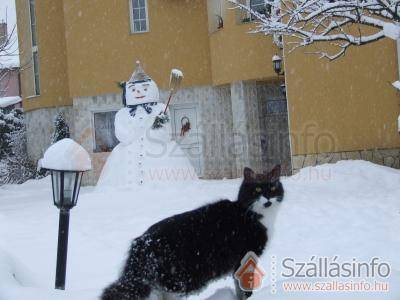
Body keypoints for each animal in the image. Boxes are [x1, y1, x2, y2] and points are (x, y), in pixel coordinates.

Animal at [103, 165, 284, 298]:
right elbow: (245, 289)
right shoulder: (245, 259)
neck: (254, 215)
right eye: (258, 189)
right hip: (177, 280)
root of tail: (141, 242)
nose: (268, 198)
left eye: (273, 187)